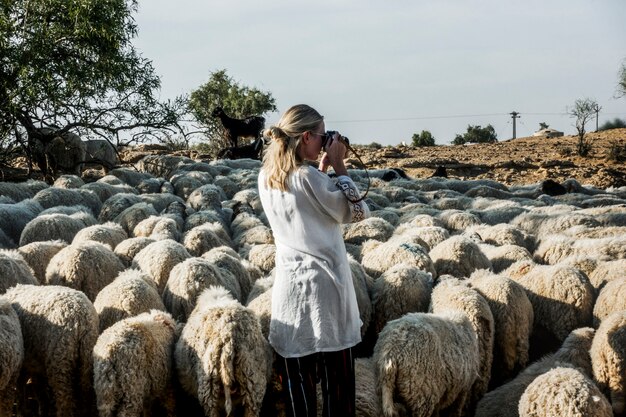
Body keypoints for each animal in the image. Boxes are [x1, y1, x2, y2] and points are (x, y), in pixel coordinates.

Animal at [4, 282, 98, 416]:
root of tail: (81, 320)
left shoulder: (25, 363)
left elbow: (27, 386)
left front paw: (24, 410)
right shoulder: (35, 363)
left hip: (60, 361)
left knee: (65, 401)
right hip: (86, 360)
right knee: (86, 395)